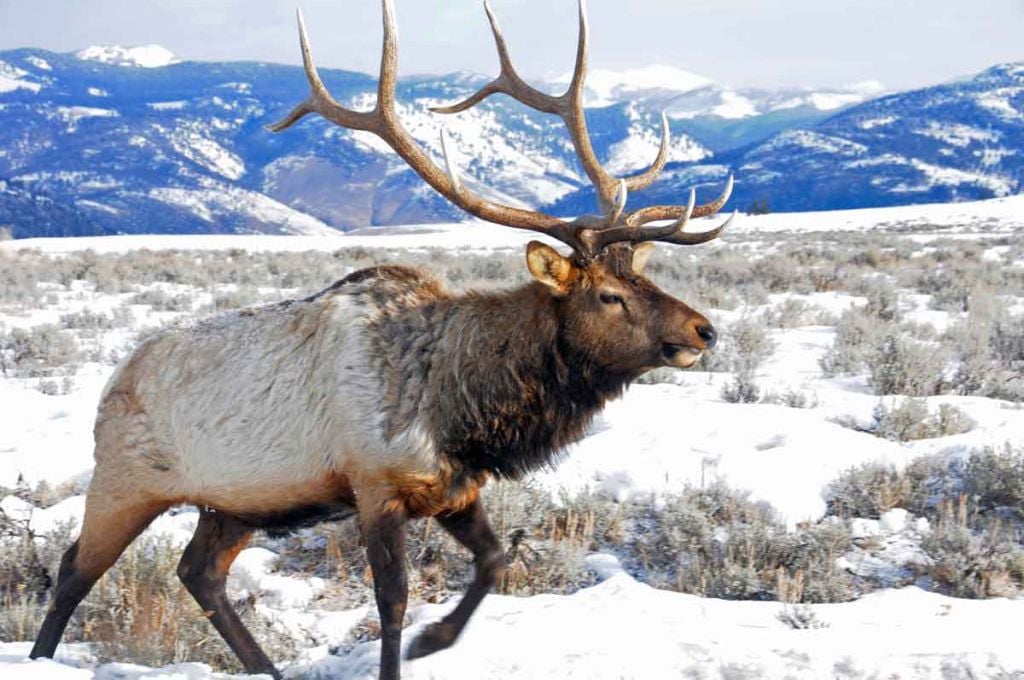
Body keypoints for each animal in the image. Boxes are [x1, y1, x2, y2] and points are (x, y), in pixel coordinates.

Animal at [28, 1, 733, 680]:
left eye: (643, 275)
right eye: (609, 295)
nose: (703, 329)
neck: (466, 411)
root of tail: (113, 379)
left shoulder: (452, 488)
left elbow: (495, 560)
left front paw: (435, 639)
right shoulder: (374, 484)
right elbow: (391, 602)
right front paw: (412, 645)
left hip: (231, 503)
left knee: (197, 572)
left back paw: (267, 670)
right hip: (126, 481)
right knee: (73, 569)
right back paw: (39, 658)